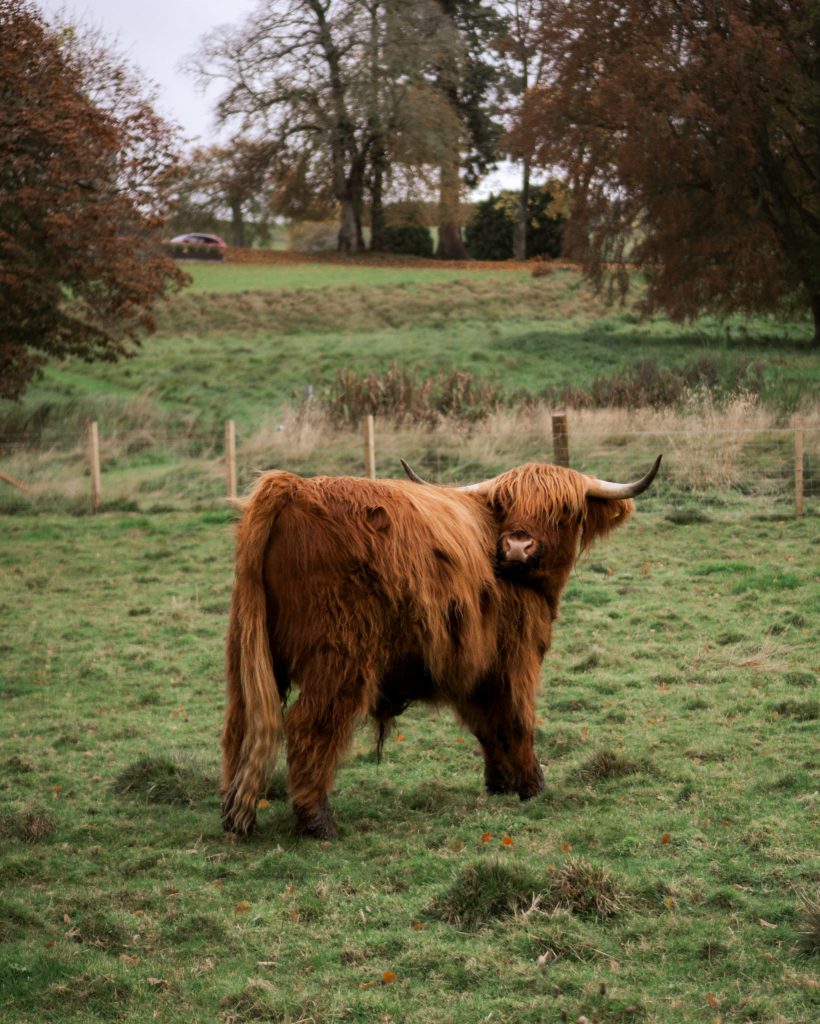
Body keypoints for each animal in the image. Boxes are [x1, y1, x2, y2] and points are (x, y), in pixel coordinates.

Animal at [221, 456, 661, 840]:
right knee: (309, 725)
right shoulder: (515, 658)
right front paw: (532, 785)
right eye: (507, 504)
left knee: (239, 725)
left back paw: (230, 811)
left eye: (564, 510)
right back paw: (317, 822)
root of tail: (293, 486)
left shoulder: (476, 666)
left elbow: (487, 725)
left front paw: (499, 783)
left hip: (249, 652)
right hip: (340, 655)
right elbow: (517, 719)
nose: (517, 546)